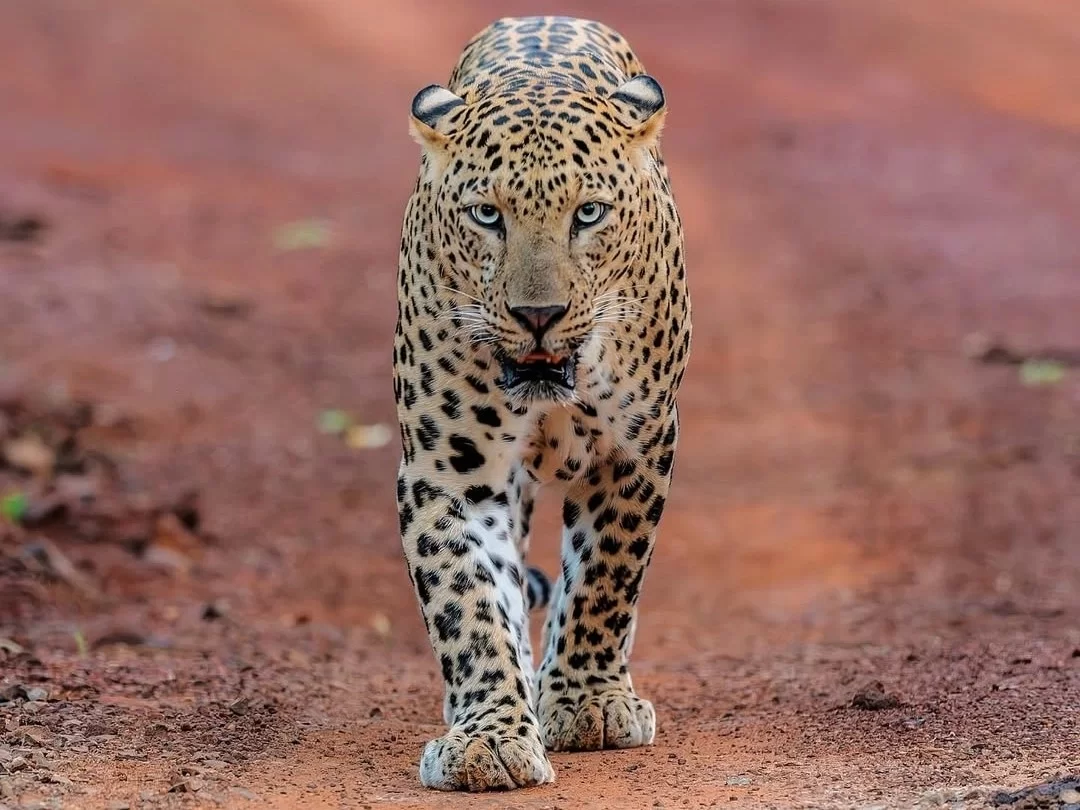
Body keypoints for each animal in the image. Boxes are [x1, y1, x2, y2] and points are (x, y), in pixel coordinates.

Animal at [393, 15, 691, 791]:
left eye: (588, 213)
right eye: (486, 215)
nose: (538, 315)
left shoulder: (636, 446)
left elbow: (606, 576)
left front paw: (588, 704)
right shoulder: (447, 470)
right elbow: (468, 601)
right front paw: (488, 739)